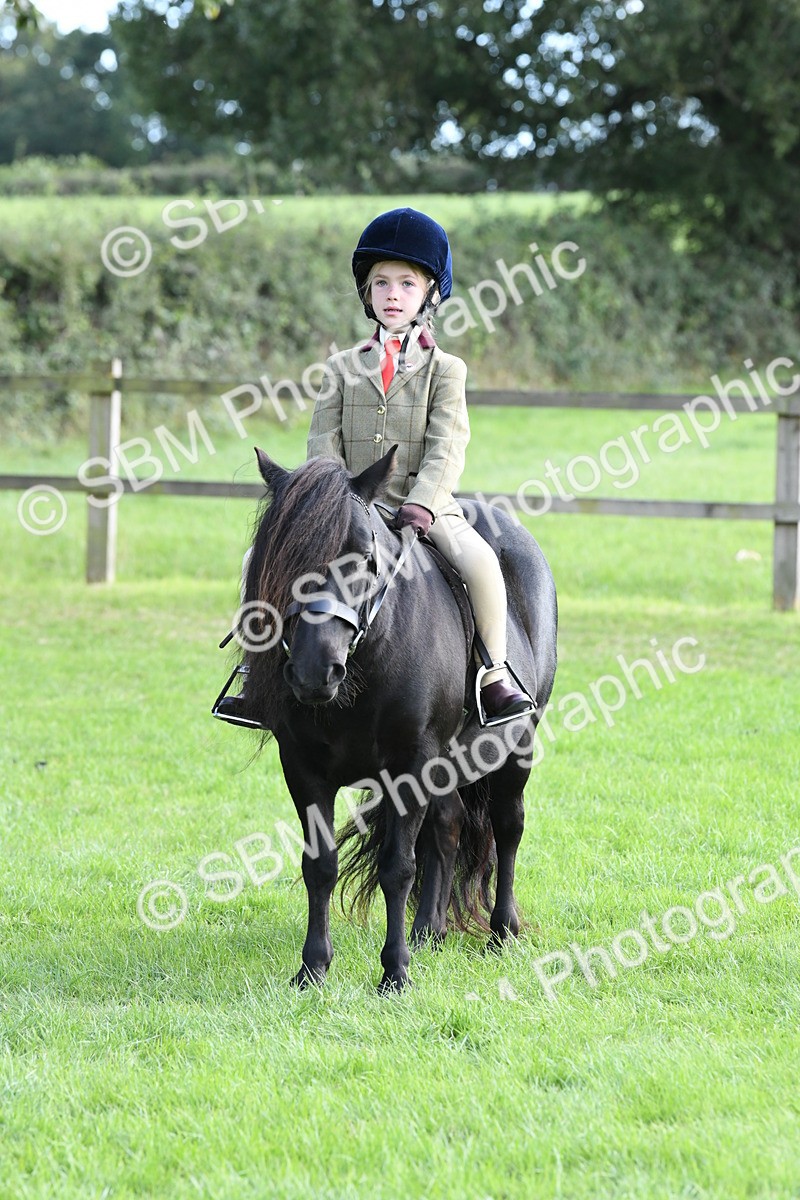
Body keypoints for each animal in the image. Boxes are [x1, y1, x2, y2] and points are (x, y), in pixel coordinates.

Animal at [237, 445, 557, 992]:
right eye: (280, 558)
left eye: (365, 560)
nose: (315, 671)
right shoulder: (302, 767)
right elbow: (319, 865)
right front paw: (313, 969)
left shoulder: (409, 764)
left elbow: (397, 867)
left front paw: (395, 973)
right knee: (448, 825)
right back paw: (430, 930)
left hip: (517, 747)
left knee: (508, 825)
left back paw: (501, 932)